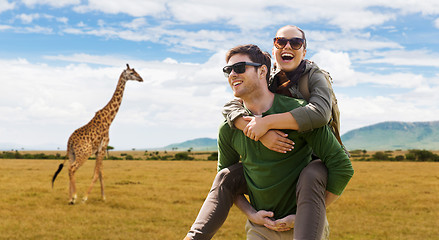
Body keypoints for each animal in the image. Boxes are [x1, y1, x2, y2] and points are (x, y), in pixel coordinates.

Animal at [52, 63, 143, 204]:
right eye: (132, 73)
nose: (141, 78)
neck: (109, 119)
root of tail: (70, 141)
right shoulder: (103, 147)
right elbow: (96, 174)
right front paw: (85, 197)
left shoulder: (98, 150)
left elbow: (100, 173)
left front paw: (103, 197)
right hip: (83, 154)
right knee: (72, 169)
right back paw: (75, 197)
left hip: (72, 154)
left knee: (69, 169)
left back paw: (70, 198)